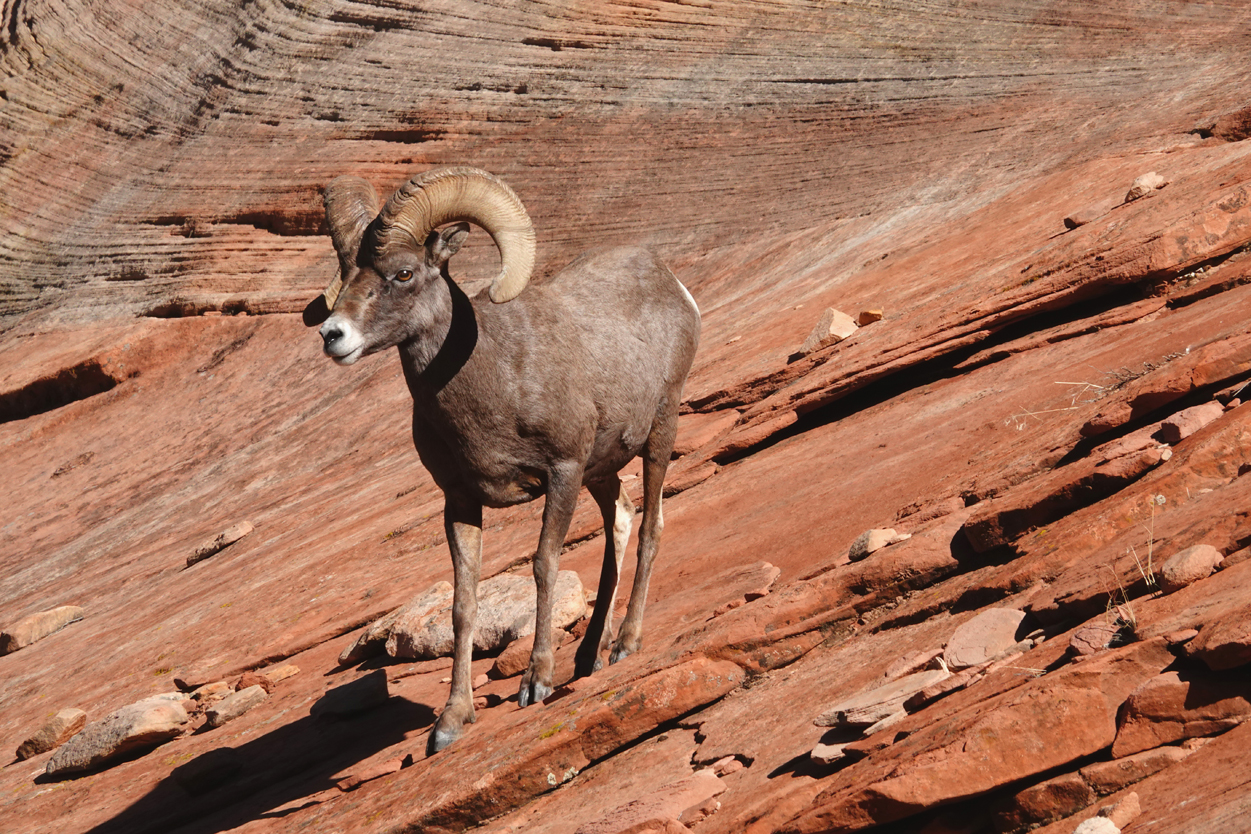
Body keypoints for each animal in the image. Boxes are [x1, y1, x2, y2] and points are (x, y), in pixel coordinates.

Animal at [305, 166, 701, 754]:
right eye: (344, 276)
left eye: (403, 273)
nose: (334, 336)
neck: (493, 381)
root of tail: (671, 283)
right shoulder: (461, 501)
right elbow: (463, 603)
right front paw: (451, 722)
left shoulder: (561, 472)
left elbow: (543, 566)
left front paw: (536, 682)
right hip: (603, 469)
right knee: (622, 520)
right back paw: (589, 656)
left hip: (660, 428)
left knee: (651, 525)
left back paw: (625, 644)